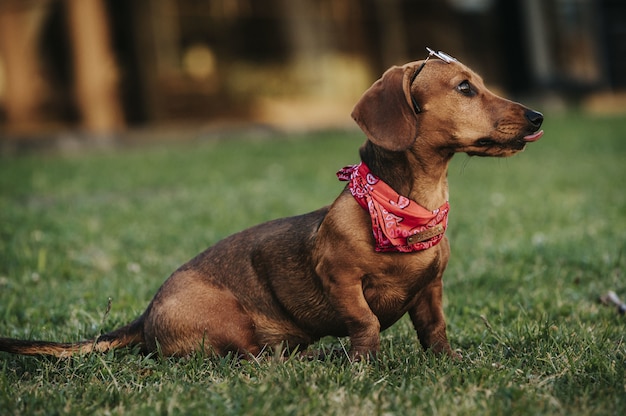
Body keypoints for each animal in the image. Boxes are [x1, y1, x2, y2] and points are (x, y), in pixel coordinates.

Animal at [0, 49, 540, 360]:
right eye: (465, 88)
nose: (538, 116)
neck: (403, 206)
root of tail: (147, 312)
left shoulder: (430, 290)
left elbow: (435, 330)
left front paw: (449, 363)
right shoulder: (341, 281)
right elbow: (364, 323)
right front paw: (364, 365)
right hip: (230, 323)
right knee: (242, 357)